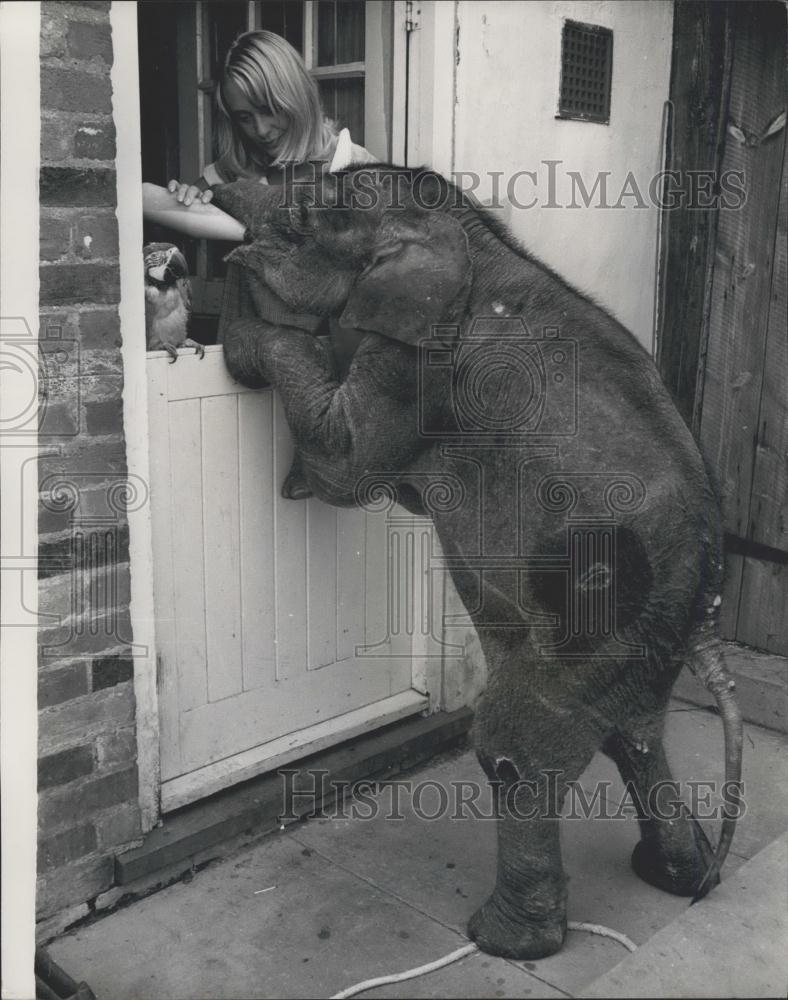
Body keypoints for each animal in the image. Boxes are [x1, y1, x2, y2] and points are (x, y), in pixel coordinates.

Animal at [209, 170, 740, 960]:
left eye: (304, 218)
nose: (219, 183)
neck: (458, 231)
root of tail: (707, 604)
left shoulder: (418, 361)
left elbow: (350, 469)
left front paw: (242, 305)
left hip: (601, 622)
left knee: (512, 750)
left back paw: (506, 942)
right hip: (640, 640)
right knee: (634, 734)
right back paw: (679, 876)